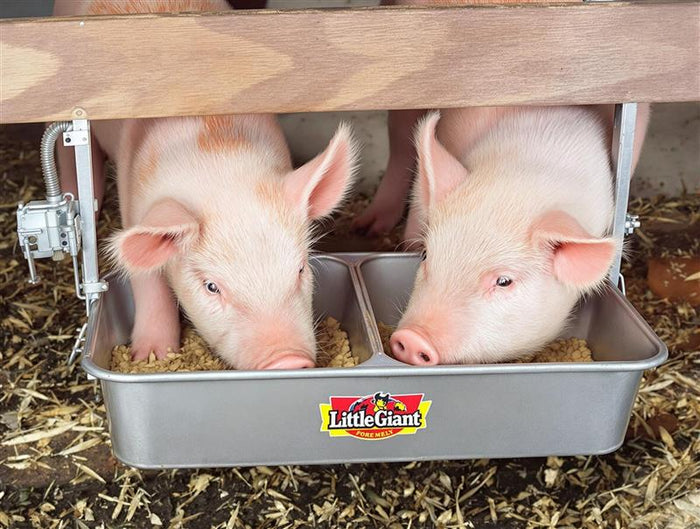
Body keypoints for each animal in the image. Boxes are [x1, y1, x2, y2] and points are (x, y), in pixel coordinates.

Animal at [53, 0, 358, 370]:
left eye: (300, 269)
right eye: (212, 287)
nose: (288, 360)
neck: (216, 156)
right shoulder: (133, 203)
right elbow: (147, 281)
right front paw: (153, 356)